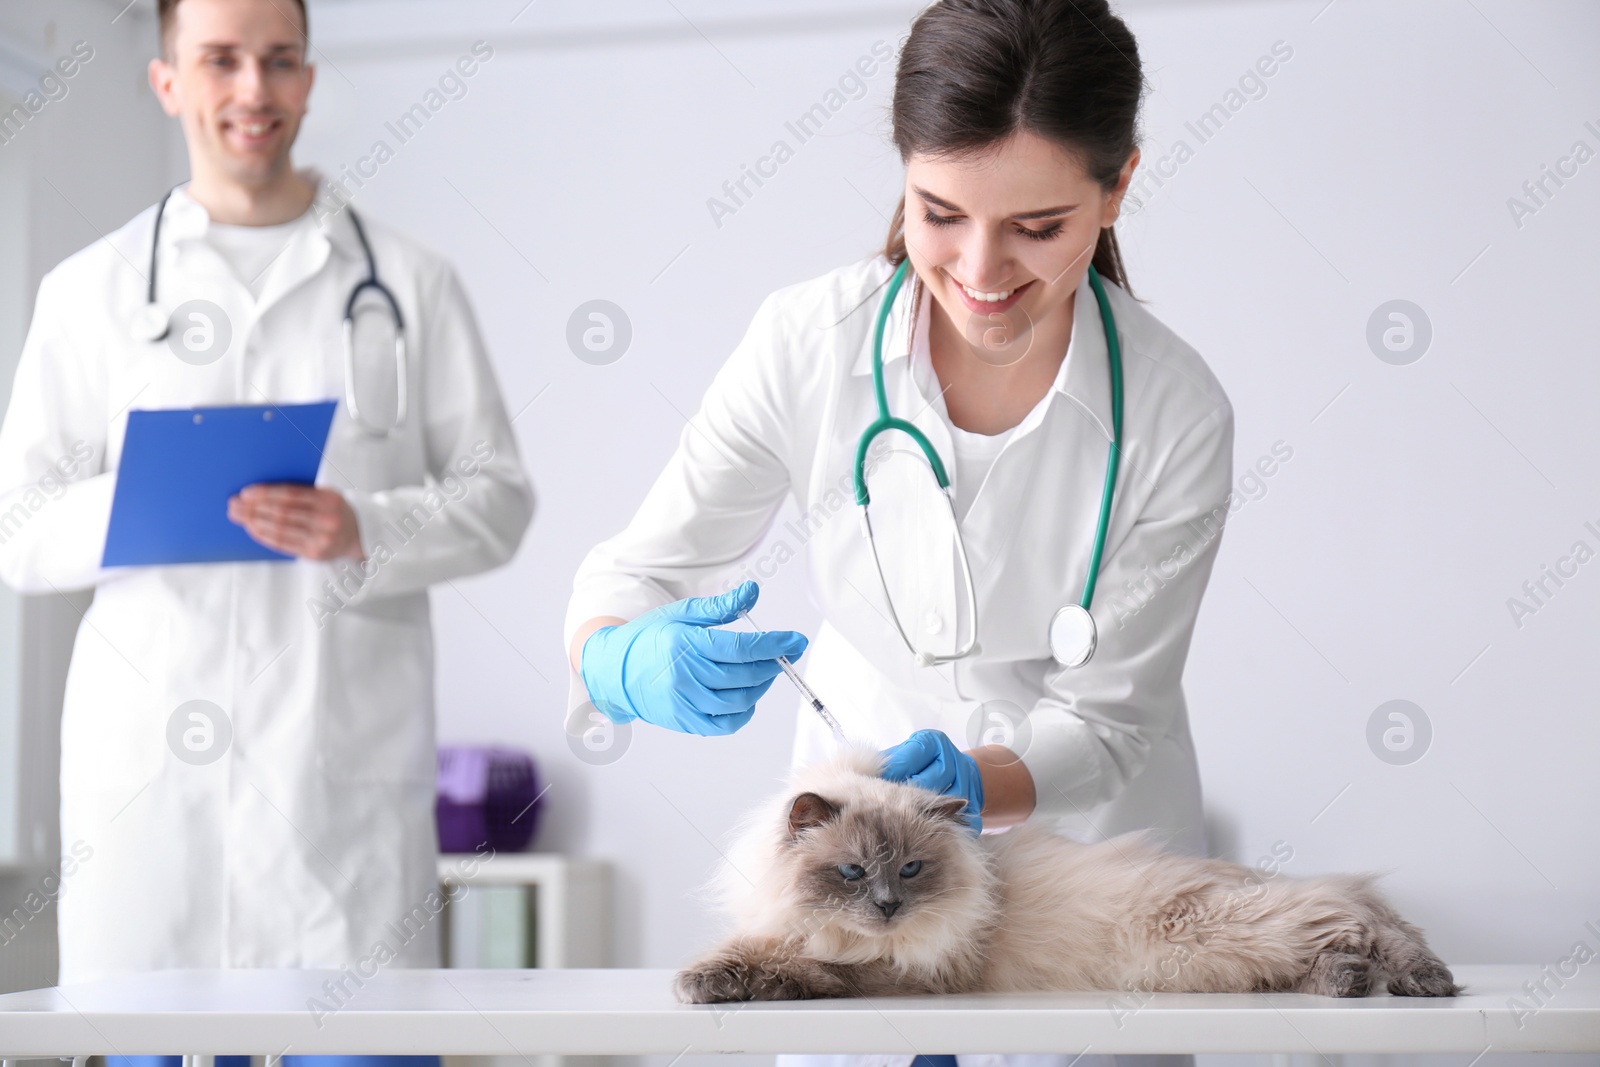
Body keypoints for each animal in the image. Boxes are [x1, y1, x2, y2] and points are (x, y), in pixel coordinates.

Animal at [675, 748, 1465, 1004]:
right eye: (850, 870)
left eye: (910, 868)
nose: (890, 906)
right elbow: (762, 949)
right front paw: (706, 978)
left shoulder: (898, 971)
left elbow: (790, 964)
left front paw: (704, 983)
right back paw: (1350, 981)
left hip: (1222, 933)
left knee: (1356, 914)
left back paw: (1417, 979)